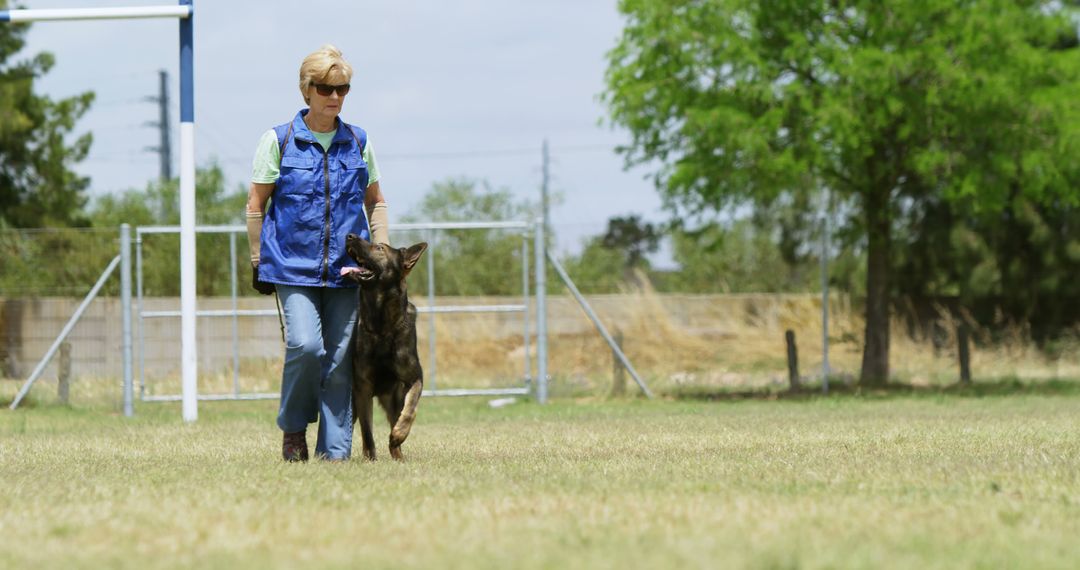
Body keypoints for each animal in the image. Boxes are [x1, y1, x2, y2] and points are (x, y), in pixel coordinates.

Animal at [345, 234, 429, 459]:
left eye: (379, 248)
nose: (349, 236)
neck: (382, 327)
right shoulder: (363, 388)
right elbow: (367, 432)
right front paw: (371, 459)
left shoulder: (415, 378)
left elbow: (411, 409)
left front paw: (399, 434)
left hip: (393, 399)